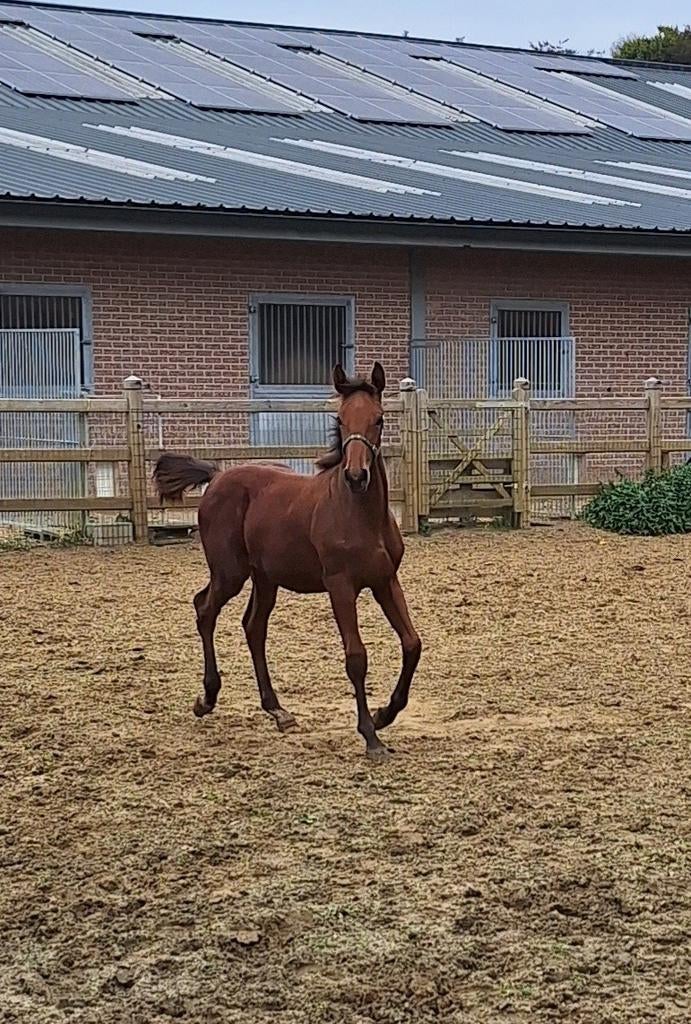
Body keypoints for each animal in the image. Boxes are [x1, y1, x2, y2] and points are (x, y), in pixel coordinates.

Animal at [153, 361, 421, 761]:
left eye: (379, 419)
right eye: (340, 420)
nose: (356, 476)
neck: (360, 514)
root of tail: (217, 476)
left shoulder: (385, 582)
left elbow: (412, 644)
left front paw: (384, 714)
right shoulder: (340, 586)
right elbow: (356, 657)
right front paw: (371, 736)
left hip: (265, 578)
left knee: (253, 627)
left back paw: (277, 711)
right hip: (230, 572)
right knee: (204, 608)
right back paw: (207, 698)